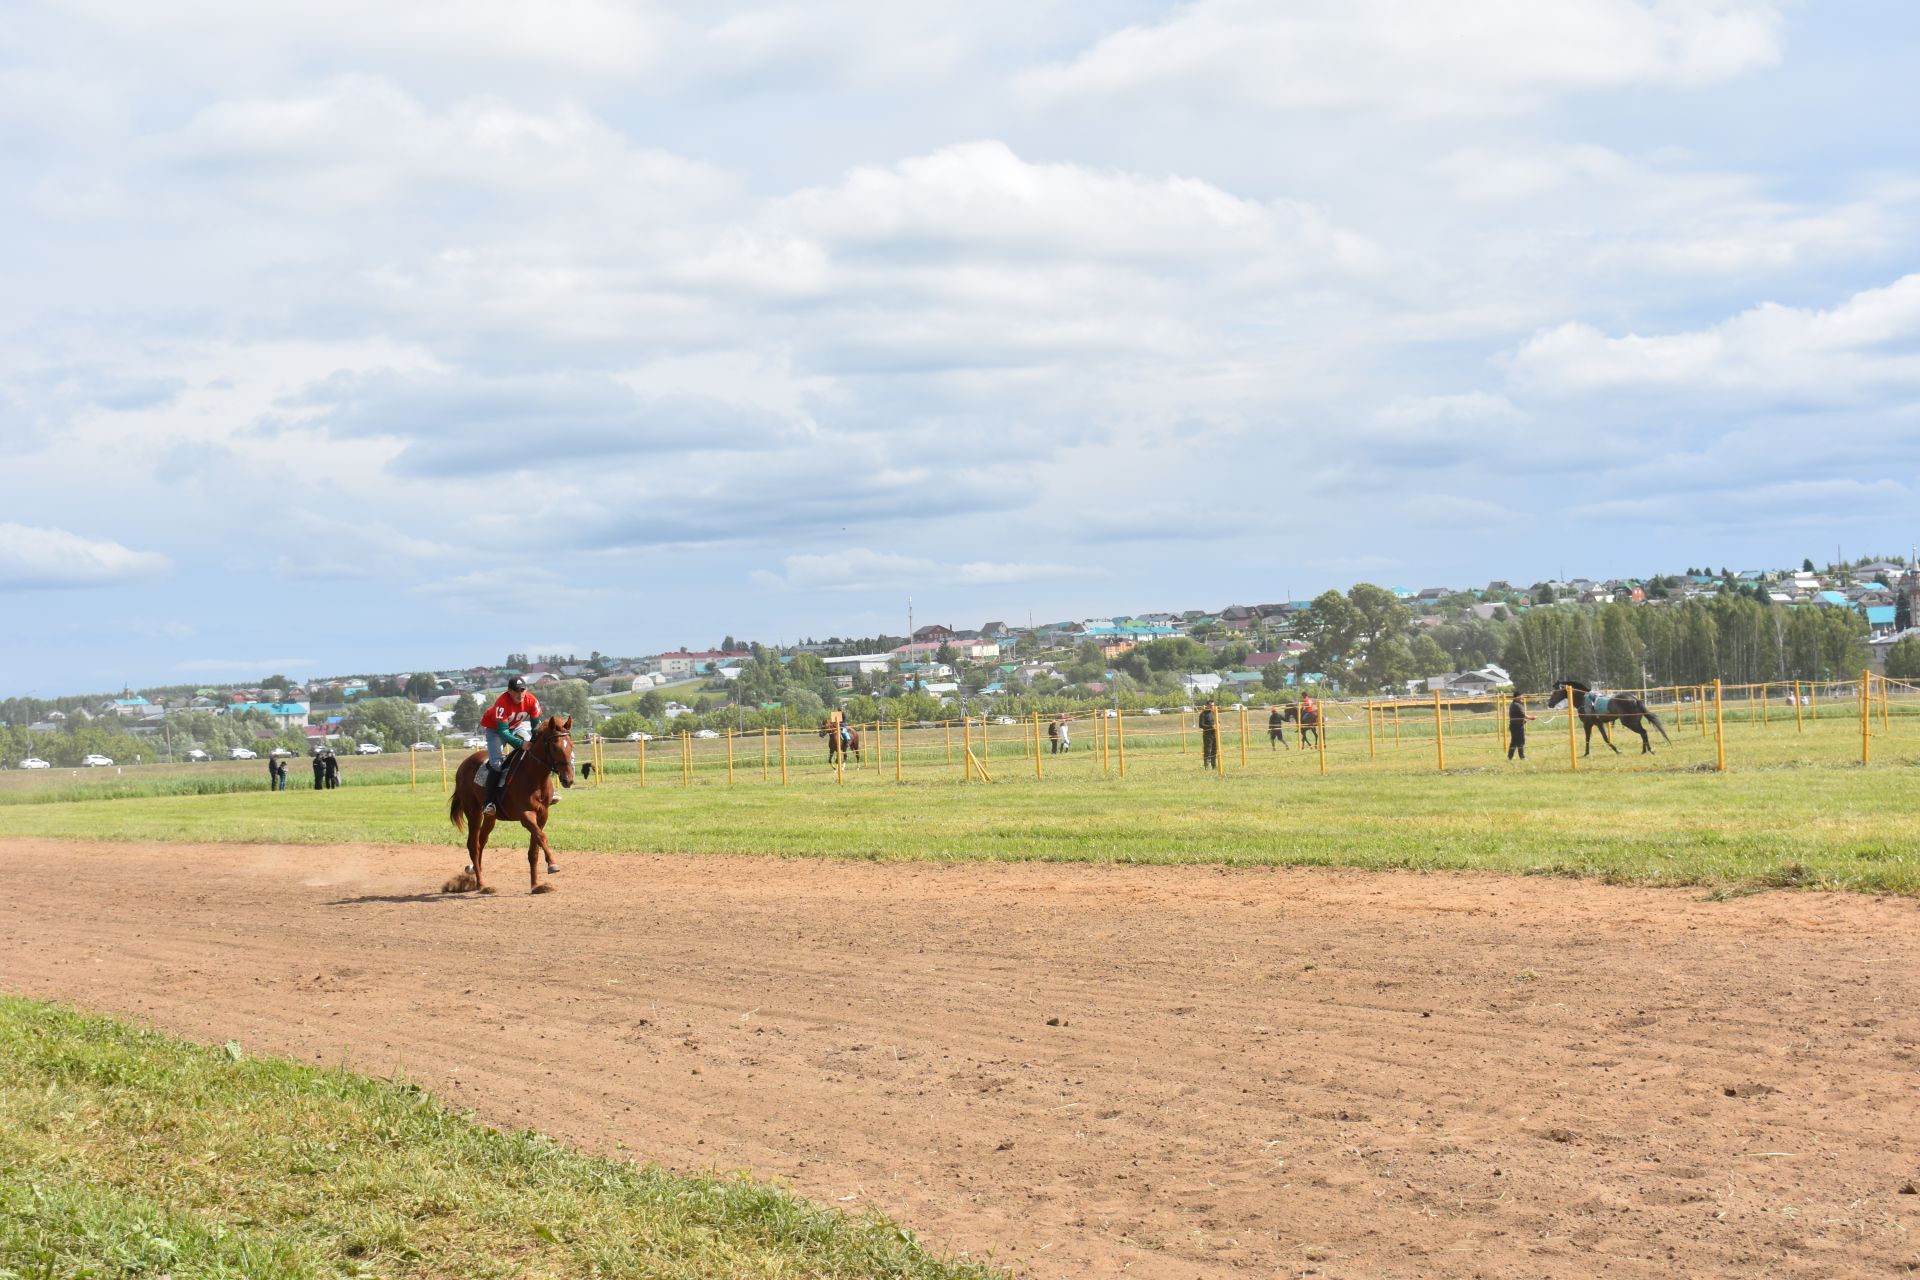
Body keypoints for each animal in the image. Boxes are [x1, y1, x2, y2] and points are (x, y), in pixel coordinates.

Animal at [445, 717, 572, 898]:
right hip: (473, 812)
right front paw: (552, 864)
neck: (534, 777)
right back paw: (481, 883)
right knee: (473, 845)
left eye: (571, 745)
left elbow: (534, 850)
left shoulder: (542, 815)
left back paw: (476, 875)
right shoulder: (525, 815)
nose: (568, 779)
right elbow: (541, 837)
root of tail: (464, 764)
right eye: (555, 747)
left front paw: (536, 885)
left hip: (490, 817)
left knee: (481, 842)